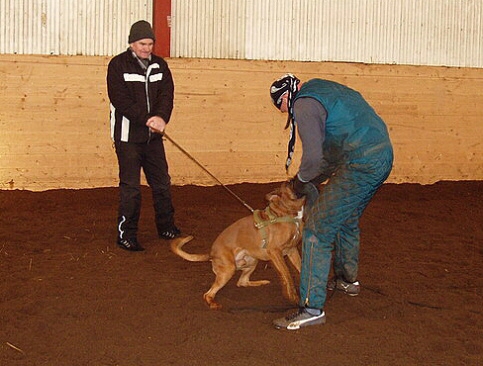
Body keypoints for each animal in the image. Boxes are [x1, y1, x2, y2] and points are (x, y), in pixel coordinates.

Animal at [172, 182, 304, 308]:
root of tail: (211, 254)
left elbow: (300, 268)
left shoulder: (292, 250)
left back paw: (261, 282)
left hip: (252, 261)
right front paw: (294, 298)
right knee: (208, 294)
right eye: (289, 184)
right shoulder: (275, 252)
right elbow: (287, 275)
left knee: (242, 282)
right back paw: (213, 304)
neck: (285, 215)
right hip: (229, 269)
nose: (293, 180)